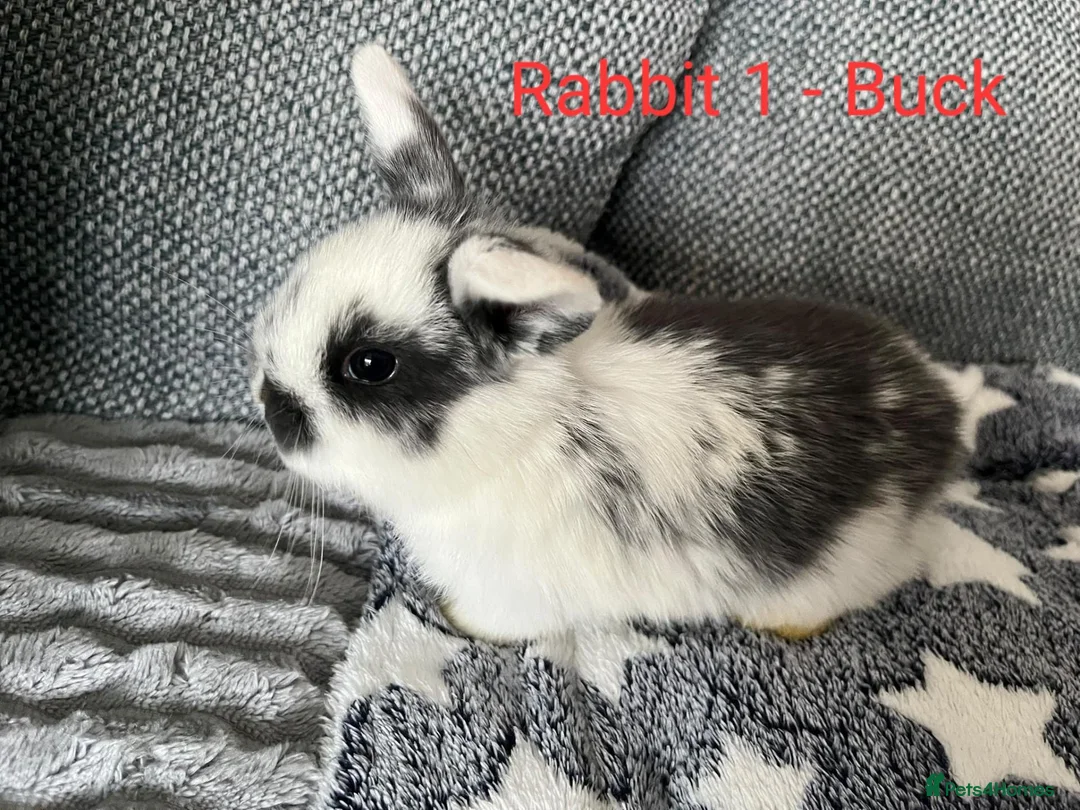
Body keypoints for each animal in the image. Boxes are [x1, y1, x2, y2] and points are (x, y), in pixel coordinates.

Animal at [249, 44, 966, 644]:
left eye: (369, 365)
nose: (274, 409)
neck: (521, 432)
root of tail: (939, 412)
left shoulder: (516, 590)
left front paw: (457, 623)